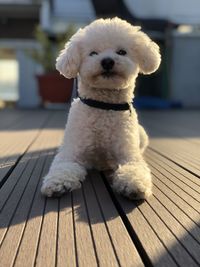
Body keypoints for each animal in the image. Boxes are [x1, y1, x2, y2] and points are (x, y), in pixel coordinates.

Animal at [41, 17, 161, 199]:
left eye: (121, 52)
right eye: (93, 53)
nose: (107, 61)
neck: (104, 106)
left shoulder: (128, 155)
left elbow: (135, 167)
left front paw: (134, 184)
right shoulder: (71, 152)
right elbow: (63, 167)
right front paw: (57, 183)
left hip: (142, 135)